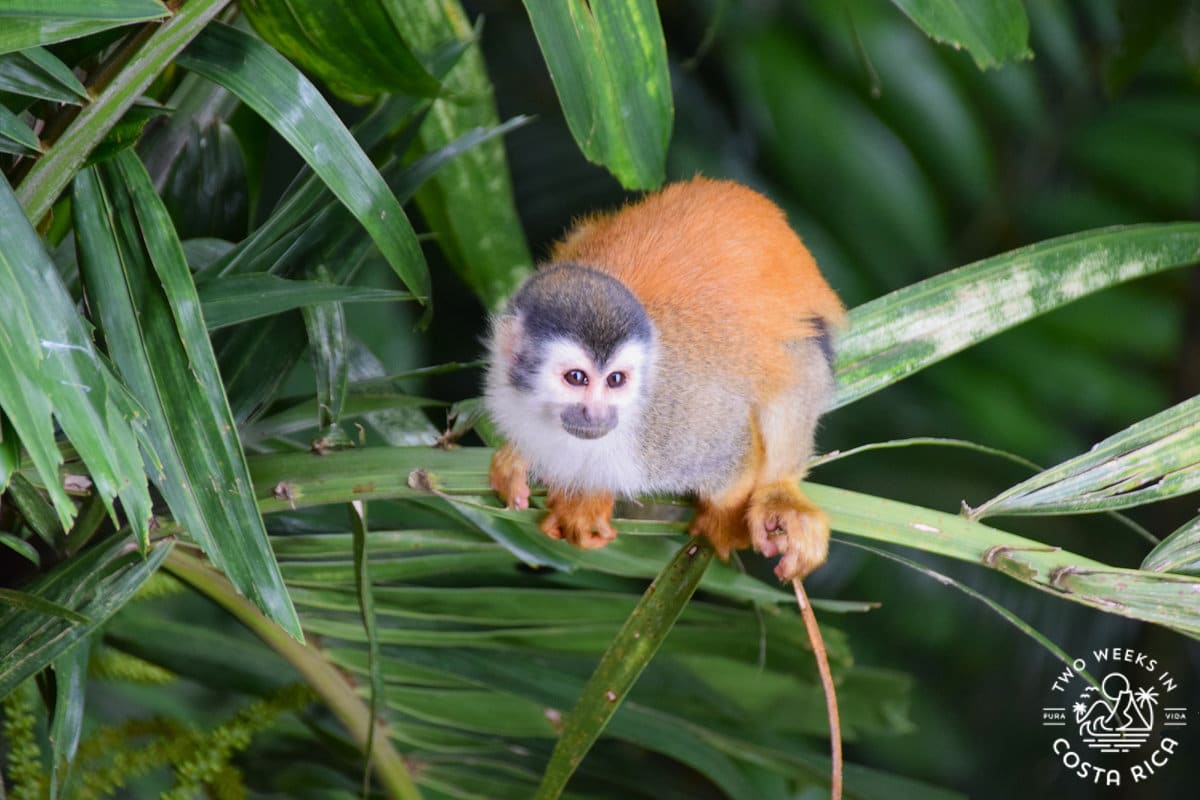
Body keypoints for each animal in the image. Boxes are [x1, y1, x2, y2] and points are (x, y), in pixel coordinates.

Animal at [483, 177, 845, 580]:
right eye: (576, 378)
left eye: (615, 380)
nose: (597, 414)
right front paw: (538, 474)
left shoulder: (671, 424)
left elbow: (732, 454)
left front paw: (723, 521)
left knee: (796, 364)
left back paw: (780, 490)